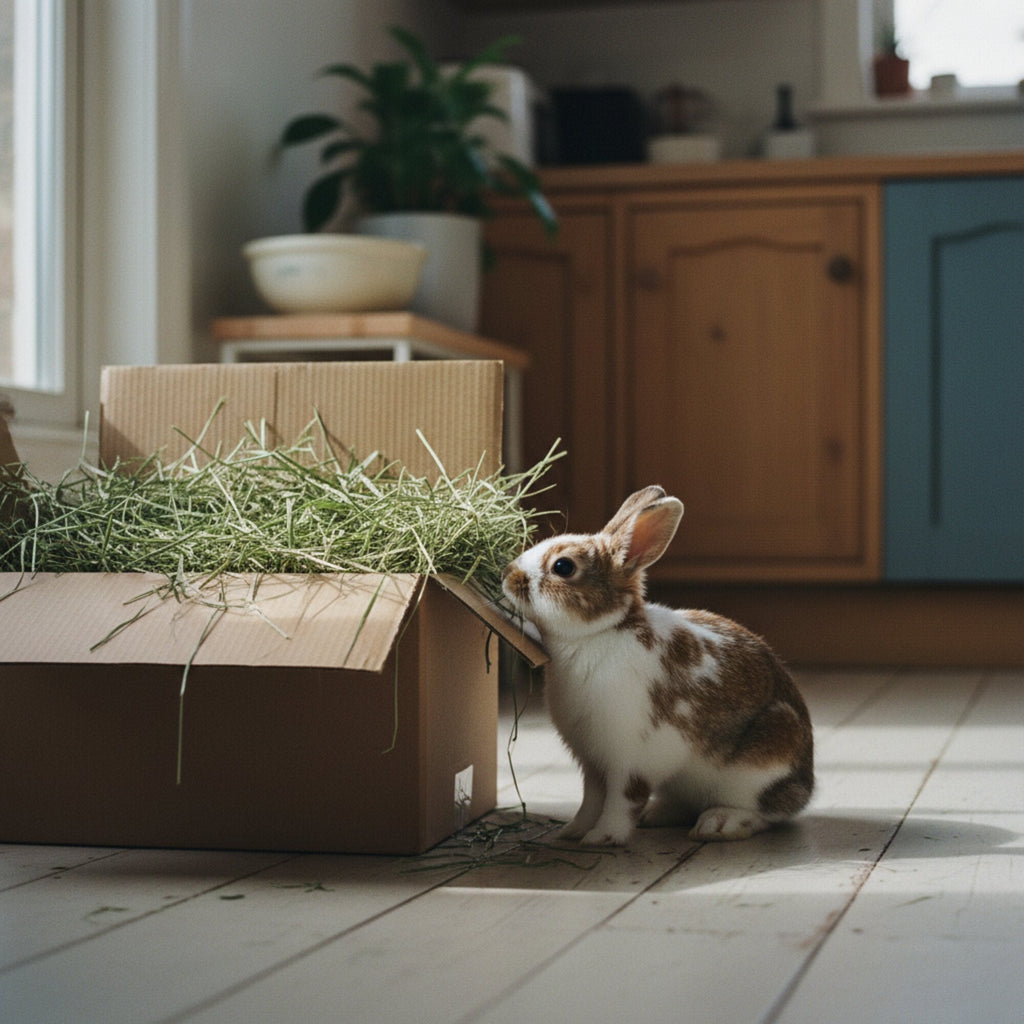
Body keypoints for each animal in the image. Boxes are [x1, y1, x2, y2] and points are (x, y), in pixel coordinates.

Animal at [501, 485, 813, 846]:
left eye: (563, 566)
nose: (507, 574)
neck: (600, 633)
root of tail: (805, 784)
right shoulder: (593, 763)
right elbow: (591, 799)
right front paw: (573, 832)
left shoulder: (629, 759)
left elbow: (622, 800)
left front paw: (602, 838)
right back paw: (657, 815)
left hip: (761, 762)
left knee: (767, 812)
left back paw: (719, 824)